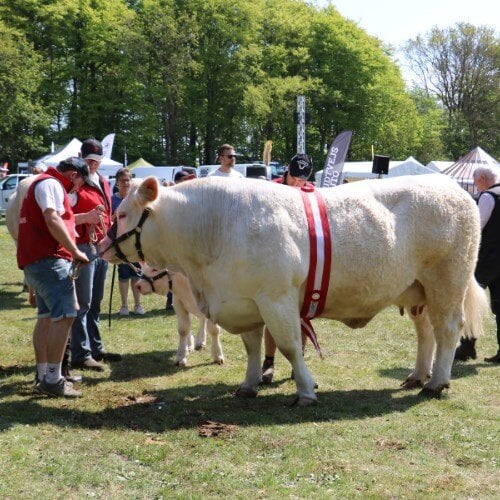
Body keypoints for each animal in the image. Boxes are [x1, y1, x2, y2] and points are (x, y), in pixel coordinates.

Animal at [99, 176, 486, 406]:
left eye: (122, 213)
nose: (101, 246)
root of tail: (451, 185)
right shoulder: (245, 299)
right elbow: (253, 348)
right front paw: (249, 385)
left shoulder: (276, 298)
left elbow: (289, 347)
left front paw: (305, 390)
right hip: (415, 289)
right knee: (426, 333)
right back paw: (418, 375)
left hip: (447, 279)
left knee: (447, 329)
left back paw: (436, 383)